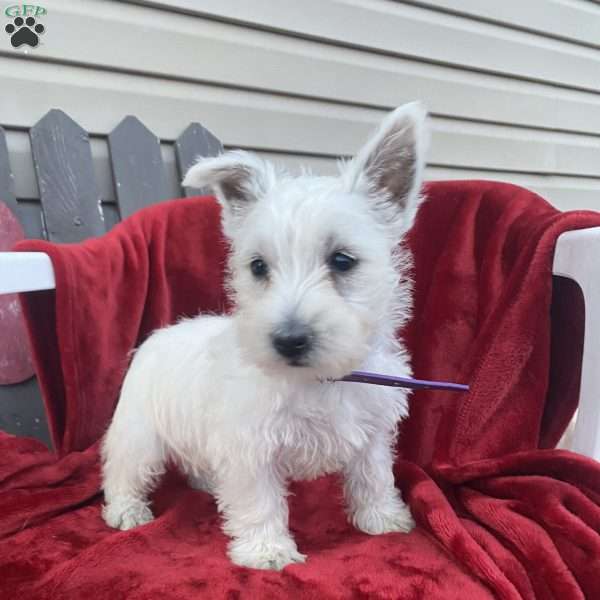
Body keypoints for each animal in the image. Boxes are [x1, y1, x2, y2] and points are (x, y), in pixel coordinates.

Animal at [104, 104, 432, 572]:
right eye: (258, 266)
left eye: (343, 260)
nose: (289, 340)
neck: (320, 379)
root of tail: (156, 336)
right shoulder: (250, 445)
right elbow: (259, 500)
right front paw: (267, 551)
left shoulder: (371, 431)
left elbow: (373, 475)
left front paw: (383, 519)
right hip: (139, 432)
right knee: (122, 470)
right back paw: (126, 511)